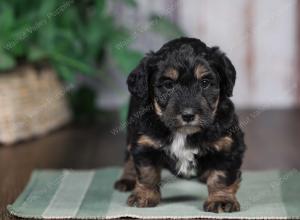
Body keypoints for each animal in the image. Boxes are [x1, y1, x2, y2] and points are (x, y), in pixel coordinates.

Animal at [113, 37, 245, 213]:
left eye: (204, 83)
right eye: (168, 85)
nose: (188, 115)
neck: (183, 133)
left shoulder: (228, 145)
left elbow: (222, 175)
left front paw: (221, 200)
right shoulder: (145, 143)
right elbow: (147, 173)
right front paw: (144, 195)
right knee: (128, 156)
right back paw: (127, 179)